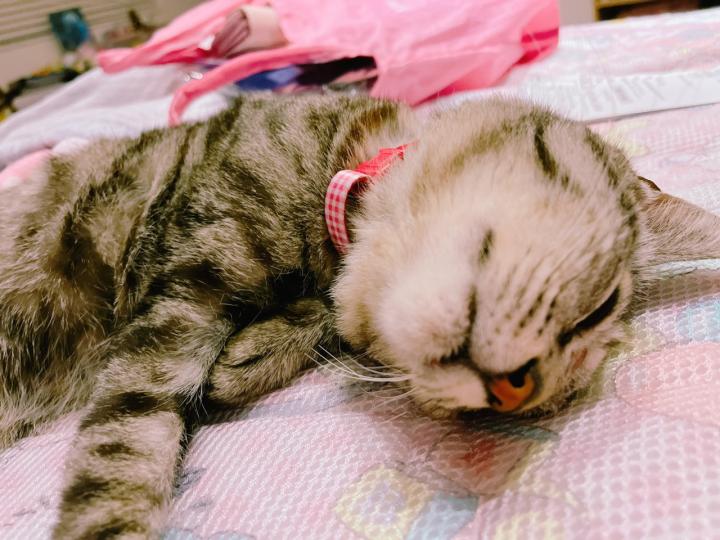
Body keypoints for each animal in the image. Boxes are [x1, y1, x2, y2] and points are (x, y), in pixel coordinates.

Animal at [1, 92, 719, 539]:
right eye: (599, 308)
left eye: (545, 404)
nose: (518, 391)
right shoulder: (174, 307)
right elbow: (121, 457)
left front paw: (256, 351)